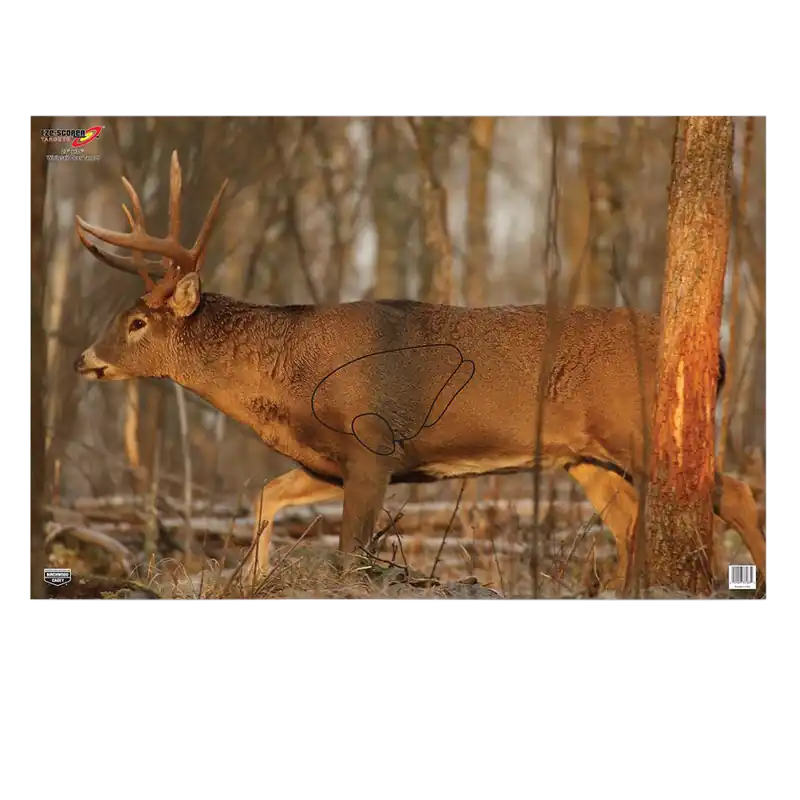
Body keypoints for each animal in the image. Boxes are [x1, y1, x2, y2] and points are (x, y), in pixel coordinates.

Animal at [73, 151, 767, 591]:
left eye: (137, 322)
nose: (83, 359)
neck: (287, 383)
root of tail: (717, 355)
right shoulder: (328, 461)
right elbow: (266, 495)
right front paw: (256, 578)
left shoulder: (373, 446)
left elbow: (351, 555)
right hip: (584, 457)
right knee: (629, 525)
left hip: (639, 430)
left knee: (733, 493)